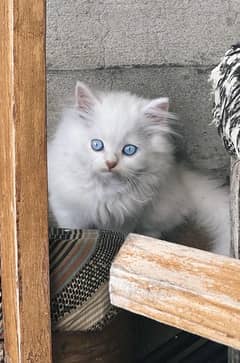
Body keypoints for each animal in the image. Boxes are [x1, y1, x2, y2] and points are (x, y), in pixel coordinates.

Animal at [47, 82, 231, 256]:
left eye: (129, 150)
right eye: (97, 145)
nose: (110, 163)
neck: (106, 190)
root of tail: (180, 176)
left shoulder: (127, 219)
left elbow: (119, 237)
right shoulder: (67, 210)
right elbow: (72, 231)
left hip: (157, 213)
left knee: (155, 230)